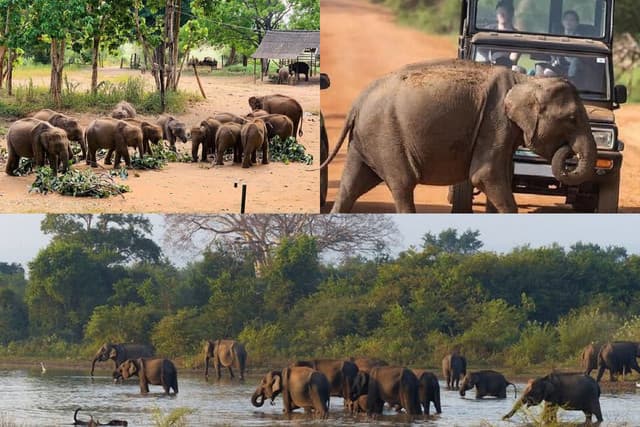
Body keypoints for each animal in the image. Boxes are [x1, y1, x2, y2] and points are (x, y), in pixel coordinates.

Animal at [321, 59, 598, 213]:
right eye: (572, 119)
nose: (568, 151)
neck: (527, 81)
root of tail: (357, 102)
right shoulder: (495, 121)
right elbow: (484, 175)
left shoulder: (503, 130)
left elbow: (501, 175)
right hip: (385, 136)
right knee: (402, 185)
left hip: (364, 141)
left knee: (350, 187)